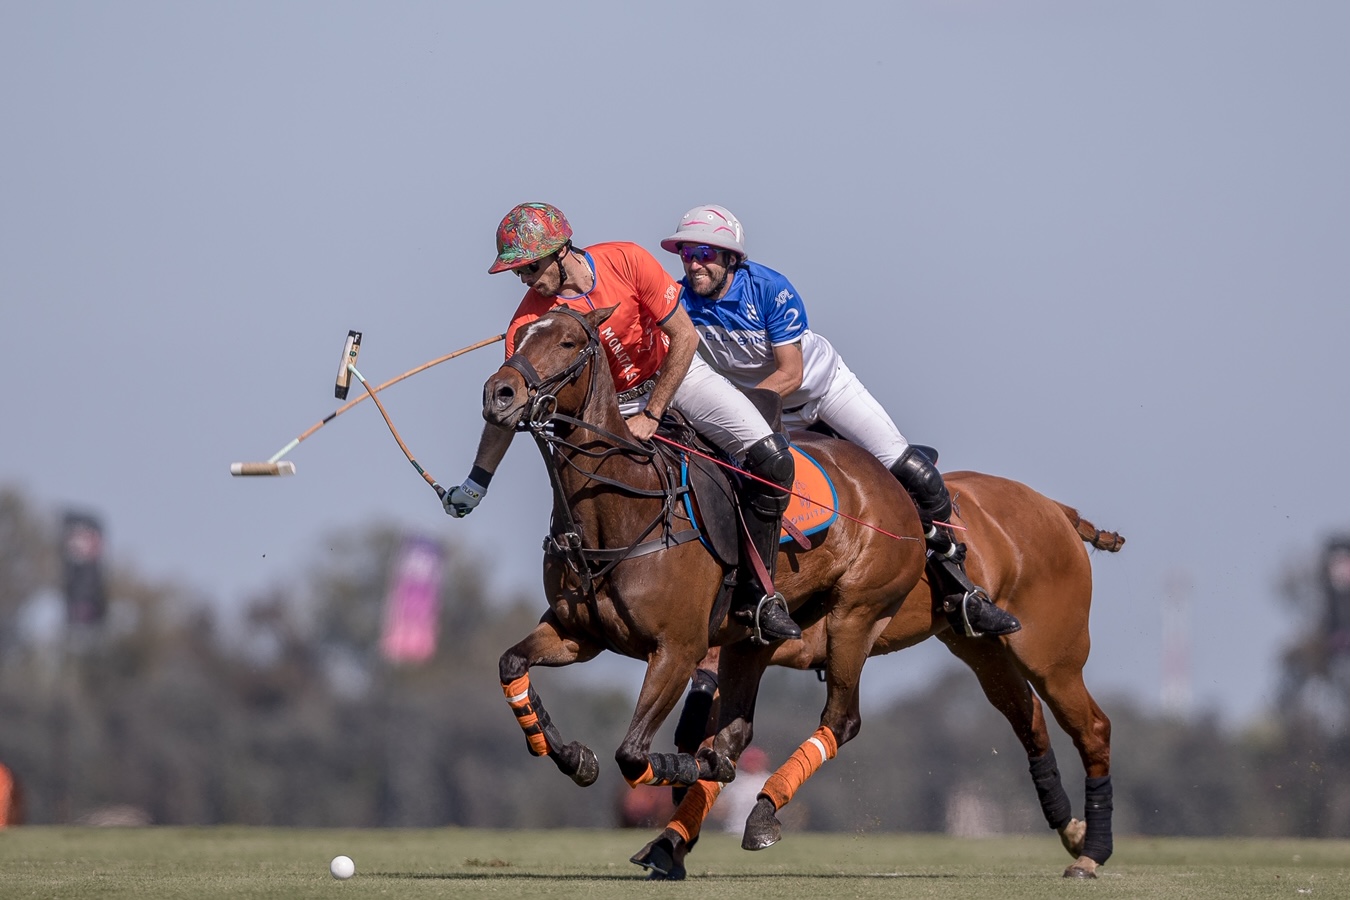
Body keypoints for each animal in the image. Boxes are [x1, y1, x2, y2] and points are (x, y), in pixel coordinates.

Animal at [483, 304, 939, 836]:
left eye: (568, 342)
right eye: (516, 339)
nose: (499, 394)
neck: (618, 507)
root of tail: (893, 481)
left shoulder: (678, 649)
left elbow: (632, 754)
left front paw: (675, 767)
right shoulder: (578, 633)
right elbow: (512, 663)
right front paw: (573, 755)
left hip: (856, 615)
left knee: (840, 720)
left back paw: (757, 807)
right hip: (753, 641)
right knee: (738, 730)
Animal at [637, 472, 1123, 879]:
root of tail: (1056, 509)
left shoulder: (767, 643)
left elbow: (720, 732)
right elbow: (713, 737)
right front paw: (671, 841)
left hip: (1051, 656)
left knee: (1093, 728)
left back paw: (1091, 853)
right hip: (982, 650)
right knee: (1031, 720)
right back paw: (1071, 829)